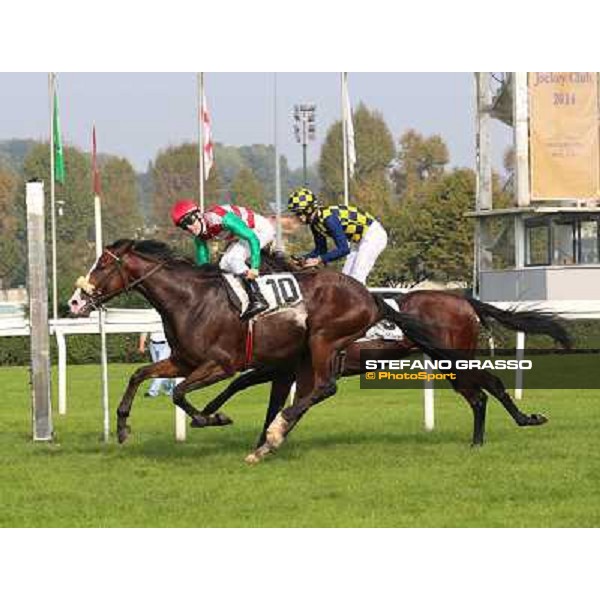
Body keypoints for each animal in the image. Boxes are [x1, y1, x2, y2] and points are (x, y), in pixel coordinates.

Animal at [68, 239, 458, 464]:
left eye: (103, 264)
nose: (74, 301)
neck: (189, 300)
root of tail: (371, 298)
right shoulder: (184, 360)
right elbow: (139, 375)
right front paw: (122, 427)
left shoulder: (221, 364)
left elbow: (180, 393)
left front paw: (213, 418)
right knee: (314, 392)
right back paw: (269, 440)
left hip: (323, 340)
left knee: (325, 386)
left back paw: (274, 433)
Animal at [197, 284, 572, 452]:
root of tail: (465, 299)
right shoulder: (285, 370)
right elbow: (247, 388)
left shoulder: (287, 369)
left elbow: (253, 390)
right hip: (445, 361)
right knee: (478, 396)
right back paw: (477, 442)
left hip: (454, 355)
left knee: (491, 383)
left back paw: (525, 419)